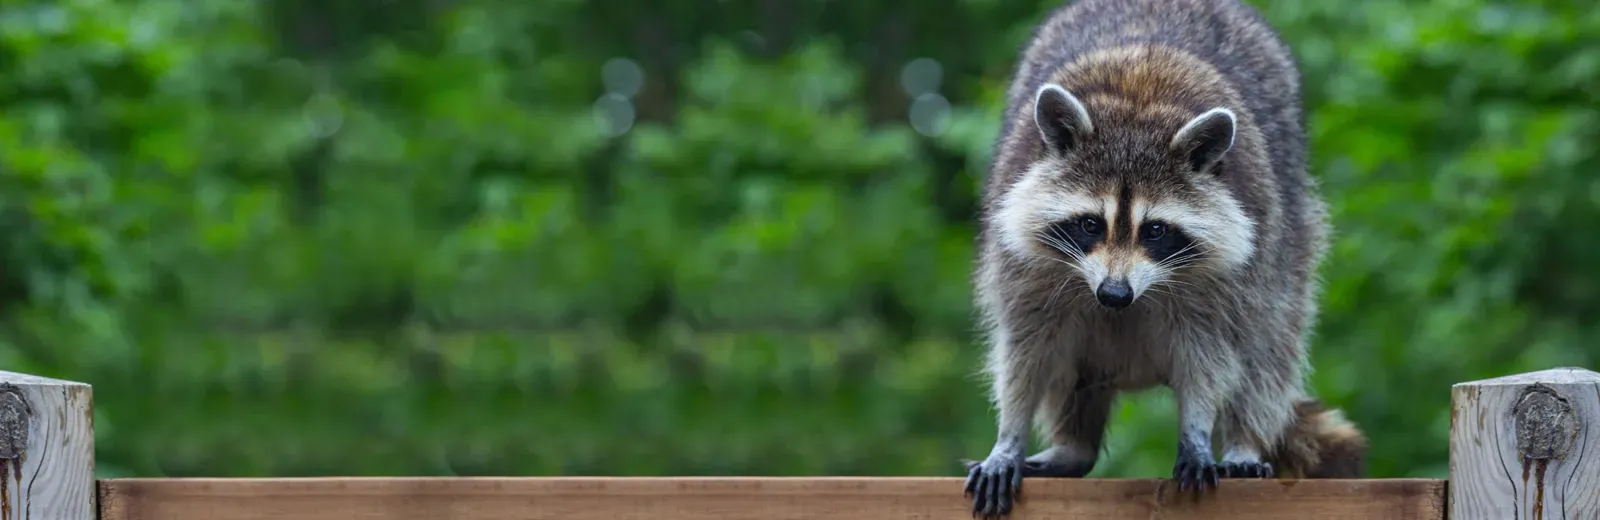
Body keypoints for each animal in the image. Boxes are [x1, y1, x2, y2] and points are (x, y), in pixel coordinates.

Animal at [961, 0, 1366, 517]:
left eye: (1155, 230)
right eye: (1090, 224)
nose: (1114, 294)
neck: (1138, 105)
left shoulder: (1228, 277)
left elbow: (1210, 351)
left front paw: (1197, 430)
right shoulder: (1023, 263)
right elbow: (1027, 349)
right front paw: (1008, 436)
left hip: (1289, 238)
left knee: (1269, 344)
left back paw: (1244, 440)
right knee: (1069, 369)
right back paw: (1074, 445)